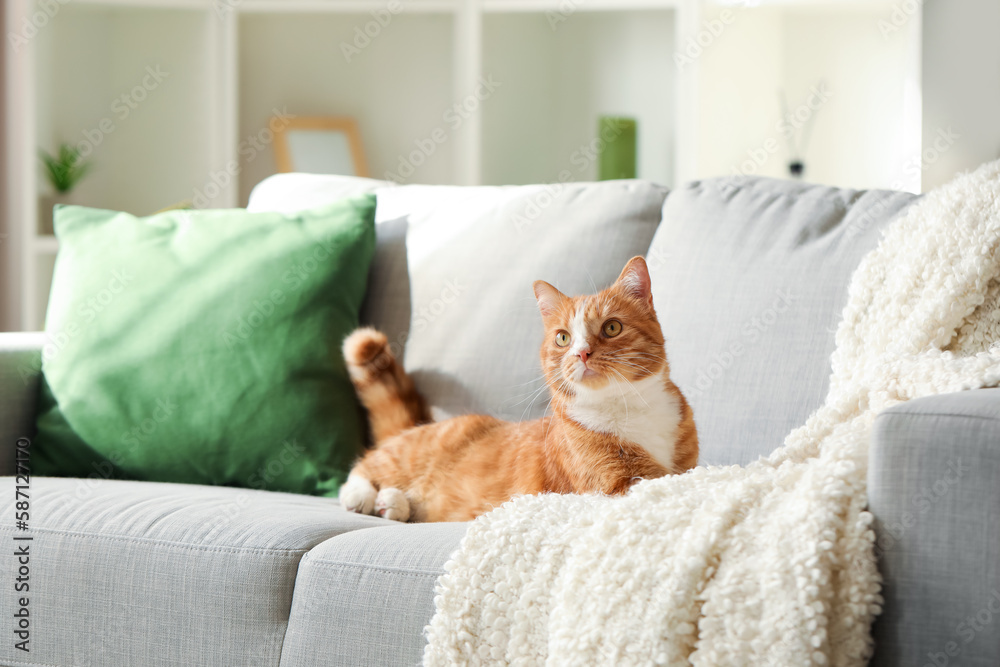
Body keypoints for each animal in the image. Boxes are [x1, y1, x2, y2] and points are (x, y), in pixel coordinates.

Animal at [338, 258, 696, 524]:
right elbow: (659, 482)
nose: (582, 353)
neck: (629, 408)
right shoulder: (618, 484)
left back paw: (392, 503)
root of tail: (423, 425)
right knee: (365, 466)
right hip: (410, 453)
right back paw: (362, 496)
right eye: (563, 338)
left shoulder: (685, 464)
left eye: (612, 327)